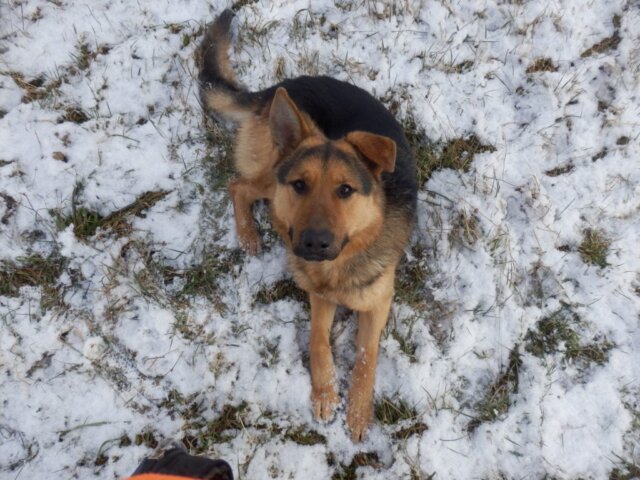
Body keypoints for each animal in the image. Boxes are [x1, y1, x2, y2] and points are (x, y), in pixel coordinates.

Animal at [198, 9, 417, 441]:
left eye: (346, 190)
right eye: (300, 185)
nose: (314, 244)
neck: (339, 265)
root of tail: (274, 90)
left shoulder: (379, 302)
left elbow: (366, 355)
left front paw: (358, 412)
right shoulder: (319, 296)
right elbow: (318, 339)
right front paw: (326, 393)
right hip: (270, 175)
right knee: (239, 186)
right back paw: (249, 236)